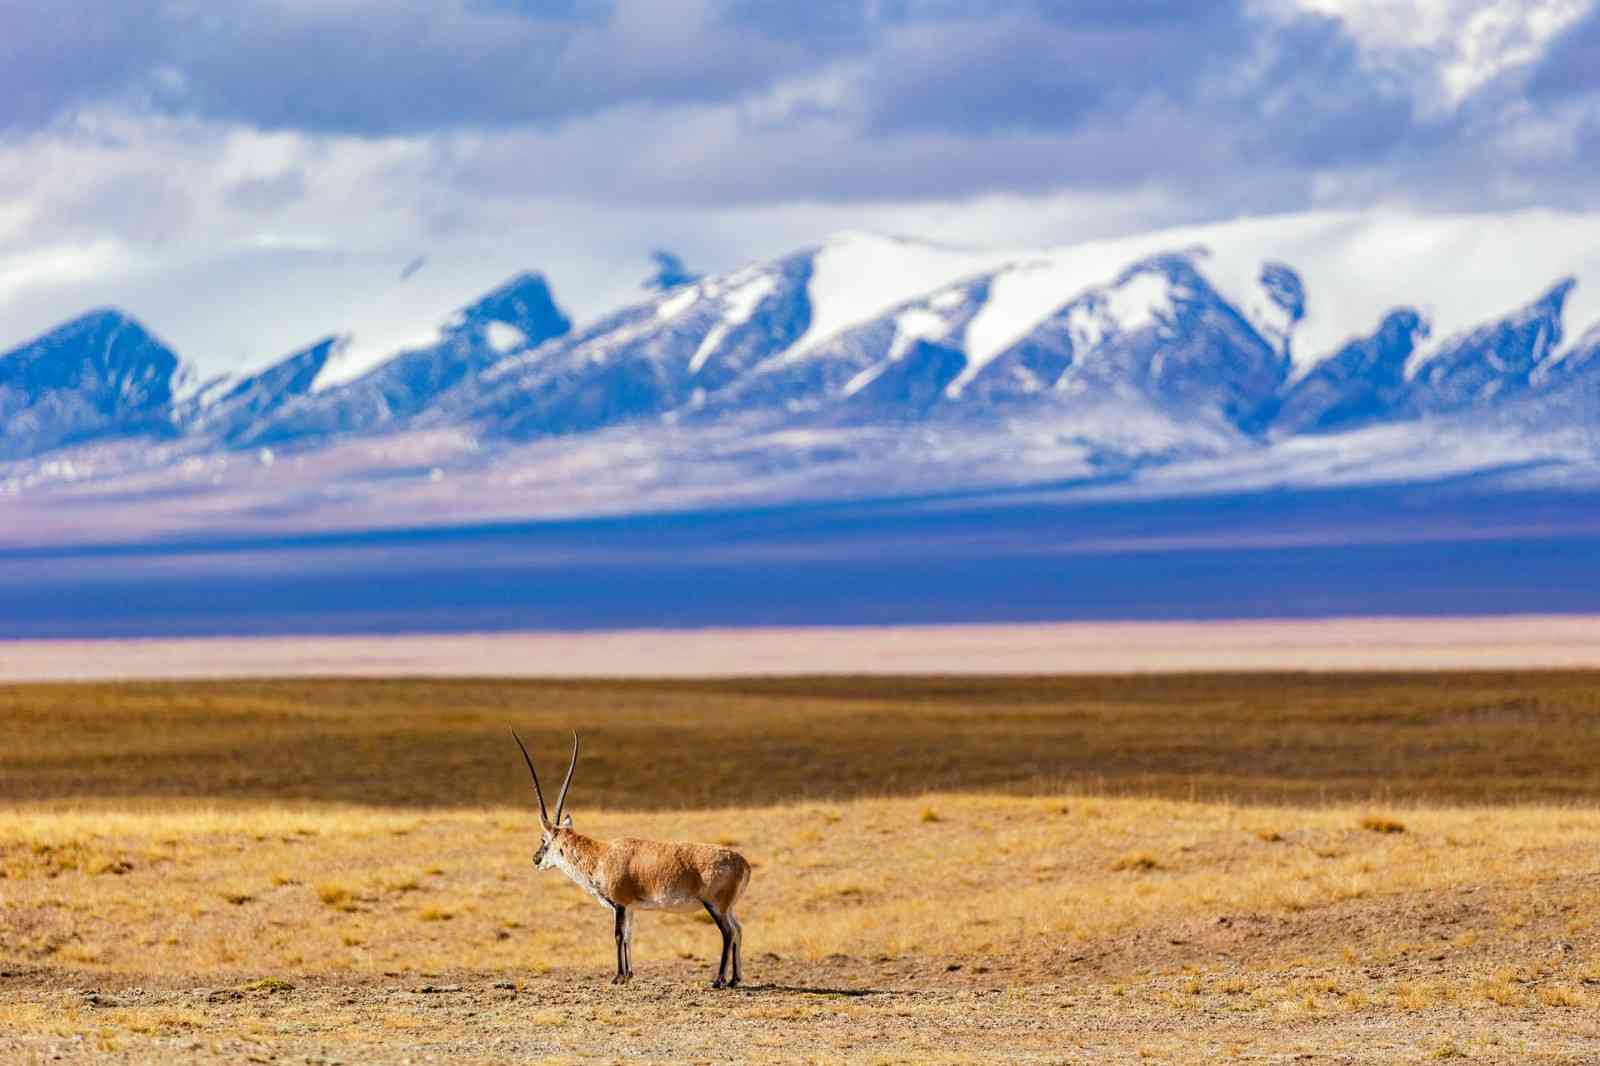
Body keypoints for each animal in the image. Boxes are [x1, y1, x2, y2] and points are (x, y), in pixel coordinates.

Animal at [518, 729, 755, 985]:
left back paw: (719, 980)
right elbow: (629, 935)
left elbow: (618, 935)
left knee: (728, 933)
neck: (600, 855)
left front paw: (618, 977)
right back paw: (735, 979)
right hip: (727, 907)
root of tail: (743, 864)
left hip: (715, 906)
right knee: (738, 930)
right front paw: (629, 974)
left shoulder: (619, 905)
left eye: (544, 840)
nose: (535, 859)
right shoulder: (630, 908)